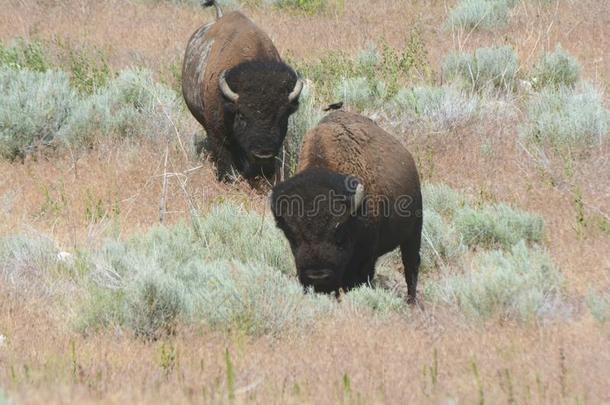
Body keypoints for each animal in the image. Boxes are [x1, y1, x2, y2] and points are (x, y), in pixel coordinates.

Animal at [182, 0, 302, 182]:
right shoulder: (217, 130)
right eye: (242, 115)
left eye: (282, 116)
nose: (263, 155)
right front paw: (227, 178)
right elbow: (224, 153)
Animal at [272, 109, 422, 302]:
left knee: (411, 265)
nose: (318, 276)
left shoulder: (365, 256)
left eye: (339, 233)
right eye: (291, 234)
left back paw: (411, 302)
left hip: (414, 231)